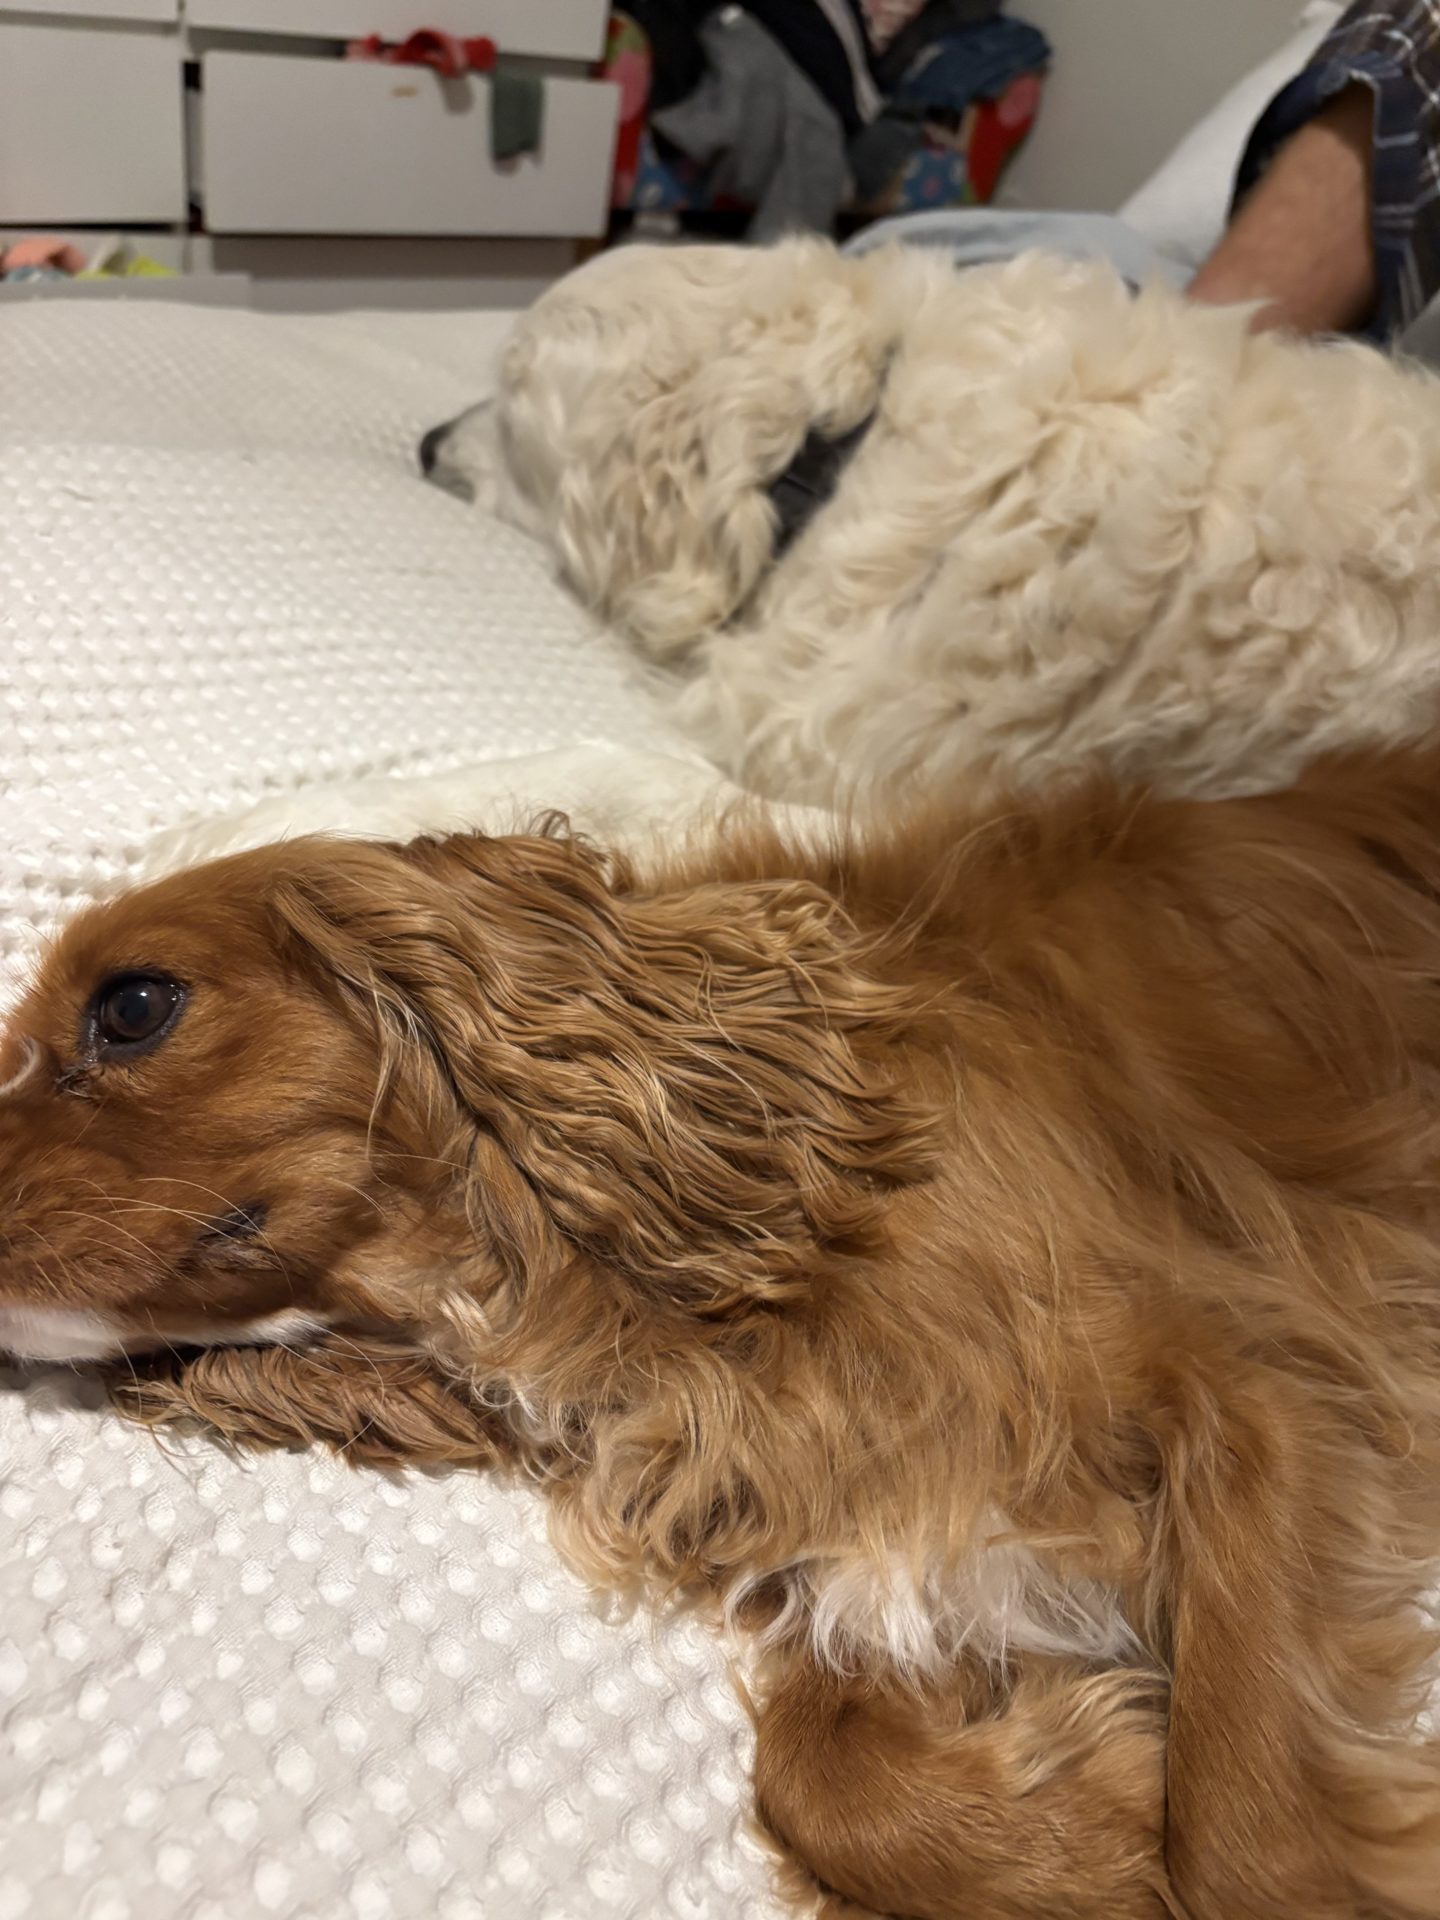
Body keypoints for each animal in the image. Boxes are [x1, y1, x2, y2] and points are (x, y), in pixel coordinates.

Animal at [2, 754, 1440, 1919]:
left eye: (134, 1007)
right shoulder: (855, 1527)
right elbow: (830, 1783)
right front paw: (1106, 1804)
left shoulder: (1270, 1383)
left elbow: (1251, 1849)